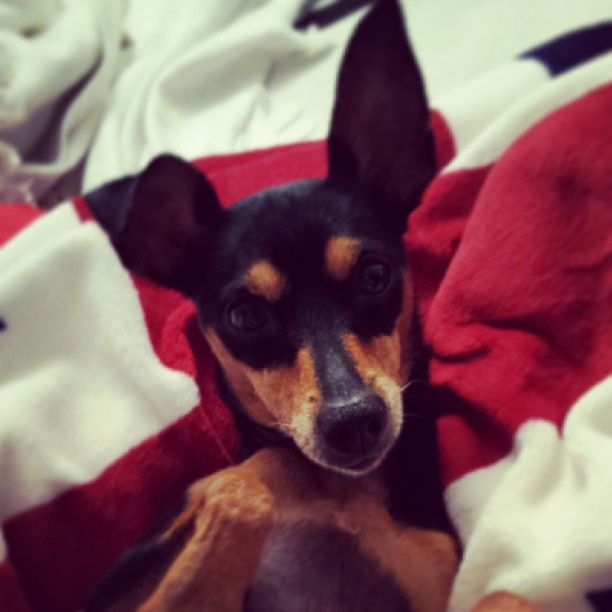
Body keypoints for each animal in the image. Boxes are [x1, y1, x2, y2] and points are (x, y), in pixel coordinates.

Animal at [83, 1, 532, 612]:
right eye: (245, 316)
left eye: (375, 276)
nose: (354, 423)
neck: (340, 494)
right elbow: (244, 478)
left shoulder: (438, 581)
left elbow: (506, 595)